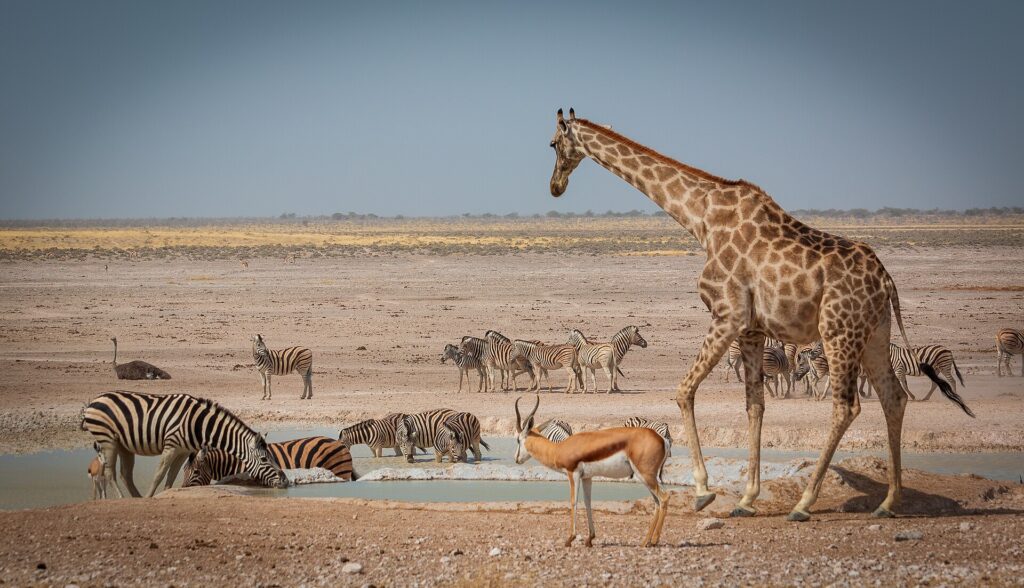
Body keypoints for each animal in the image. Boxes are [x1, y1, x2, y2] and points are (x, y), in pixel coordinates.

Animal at [80, 391, 286, 497]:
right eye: (264, 459)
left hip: (124, 445)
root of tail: (95, 400)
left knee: (125, 474)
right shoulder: (171, 446)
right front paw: (150, 498)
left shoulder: (182, 451)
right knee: (110, 473)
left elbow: (171, 477)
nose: (285, 481)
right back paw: (124, 499)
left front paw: (166, 493)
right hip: (108, 440)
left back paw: (136, 498)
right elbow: (159, 474)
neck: (199, 424)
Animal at [548, 108, 974, 521]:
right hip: (874, 333)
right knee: (893, 397)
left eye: (553, 143)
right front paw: (746, 498)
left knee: (847, 405)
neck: (701, 219)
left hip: (838, 329)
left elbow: (685, 391)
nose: (555, 185)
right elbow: (755, 405)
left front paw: (703, 491)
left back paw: (805, 503)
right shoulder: (751, 329)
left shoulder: (728, 313)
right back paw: (887, 502)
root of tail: (886, 280)